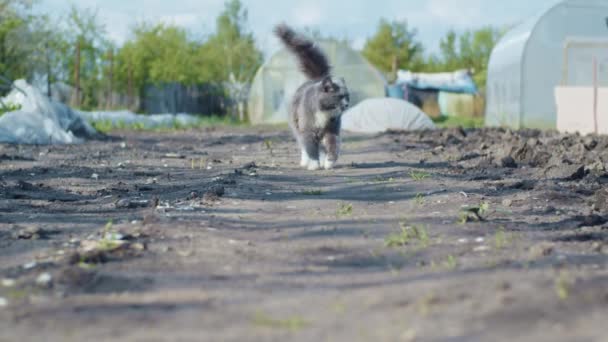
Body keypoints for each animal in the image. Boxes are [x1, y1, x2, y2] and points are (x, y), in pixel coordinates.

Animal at [274, 23, 350, 170]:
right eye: (339, 96)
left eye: (347, 96)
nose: (346, 104)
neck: (325, 113)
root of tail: (317, 79)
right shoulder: (307, 131)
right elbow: (310, 149)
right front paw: (314, 164)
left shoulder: (332, 131)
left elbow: (333, 146)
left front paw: (329, 162)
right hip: (297, 127)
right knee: (304, 146)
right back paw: (305, 162)